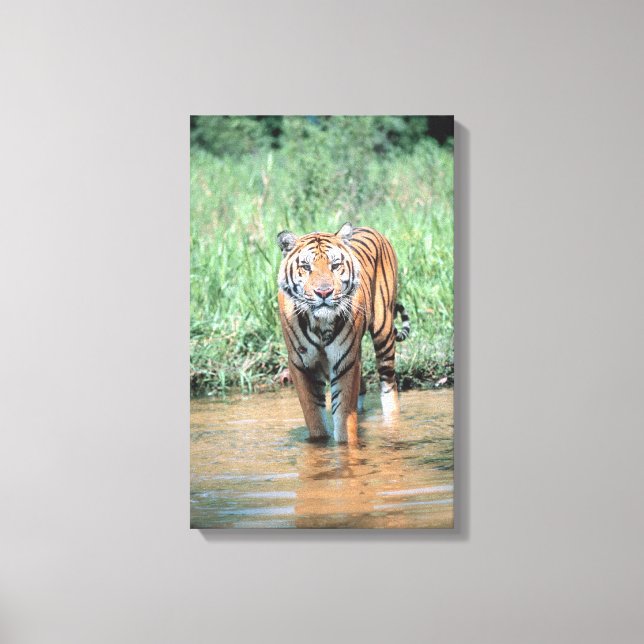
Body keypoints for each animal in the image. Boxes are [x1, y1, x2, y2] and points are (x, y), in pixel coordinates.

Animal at [276, 222, 410, 444]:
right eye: (306, 267)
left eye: (335, 265)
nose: (324, 292)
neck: (319, 323)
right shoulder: (301, 364)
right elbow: (314, 417)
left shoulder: (345, 363)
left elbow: (343, 417)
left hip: (383, 331)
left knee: (389, 384)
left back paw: (392, 423)